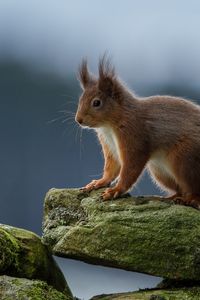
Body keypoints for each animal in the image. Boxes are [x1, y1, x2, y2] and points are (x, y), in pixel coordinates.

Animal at [75, 55, 200, 209]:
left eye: (96, 103)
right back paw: (171, 197)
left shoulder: (134, 136)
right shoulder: (110, 146)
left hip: (184, 159)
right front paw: (100, 182)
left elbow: (130, 167)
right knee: (181, 189)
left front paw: (116, 190)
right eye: (80, 99)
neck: (109, 126)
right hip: (159, 170)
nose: (78, 120)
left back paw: (191, 199)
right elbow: (112, 167)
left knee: (194, 189)